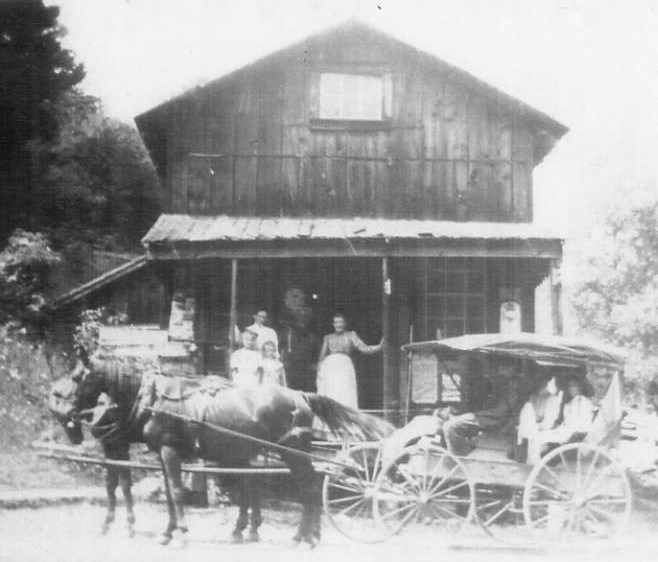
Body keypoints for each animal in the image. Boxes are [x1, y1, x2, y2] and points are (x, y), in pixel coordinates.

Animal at [52, 356, 390, 544]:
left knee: (308, 488)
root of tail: (301, 396)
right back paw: (302, 536)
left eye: (76, 377)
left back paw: (304, 538)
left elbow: (175, 492)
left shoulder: (168, 452)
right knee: (299, 487)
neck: (151, 399)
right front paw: (167, 533)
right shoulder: (159, 453)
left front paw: (181, 536)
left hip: (290, 452)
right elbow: (165, 493)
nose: (63, 412)